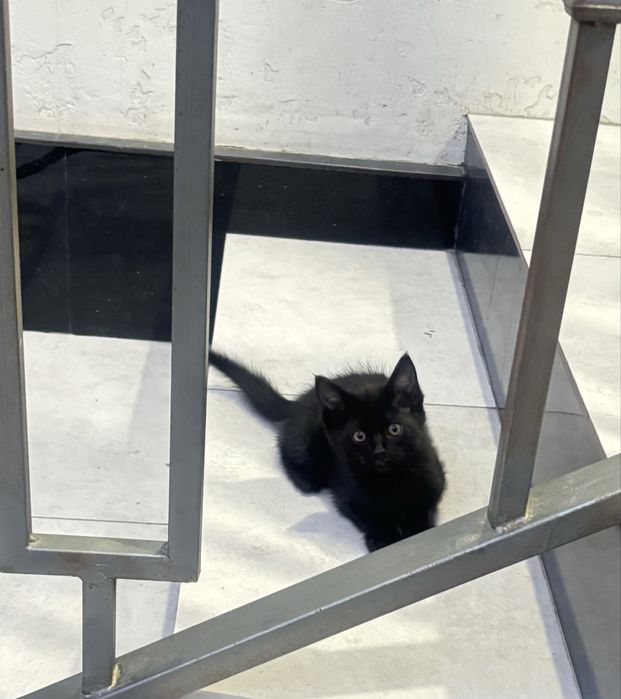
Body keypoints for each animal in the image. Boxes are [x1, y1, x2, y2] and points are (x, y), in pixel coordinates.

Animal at [209, 351, 446, 552]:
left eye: (394, 429)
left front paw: (417, 530)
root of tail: (300, 402)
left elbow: (425, 506)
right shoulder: (347, 492)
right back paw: (305, 476)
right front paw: (383, 536)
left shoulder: (436, 477)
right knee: (287, 446)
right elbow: (367, 514)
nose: (379, 450)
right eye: (359, 436)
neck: (391, 479)